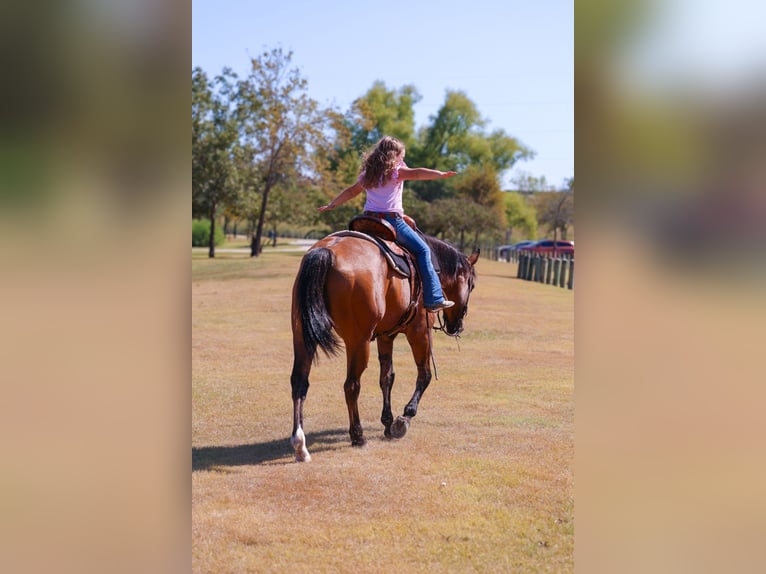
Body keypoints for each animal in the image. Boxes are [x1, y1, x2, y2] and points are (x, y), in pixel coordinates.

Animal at [289, 222, 478, 462]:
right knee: (351, 385)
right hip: (358, 342)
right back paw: (358, 436)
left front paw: (388, 424)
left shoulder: (386, 336)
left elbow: (387, 378)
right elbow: (424, 375)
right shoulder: (420, 332)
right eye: (471, 285)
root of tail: (327, 251)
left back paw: (300, 444)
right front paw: (403, 418)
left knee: (299, 382)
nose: (457, 326)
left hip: (303, 336)